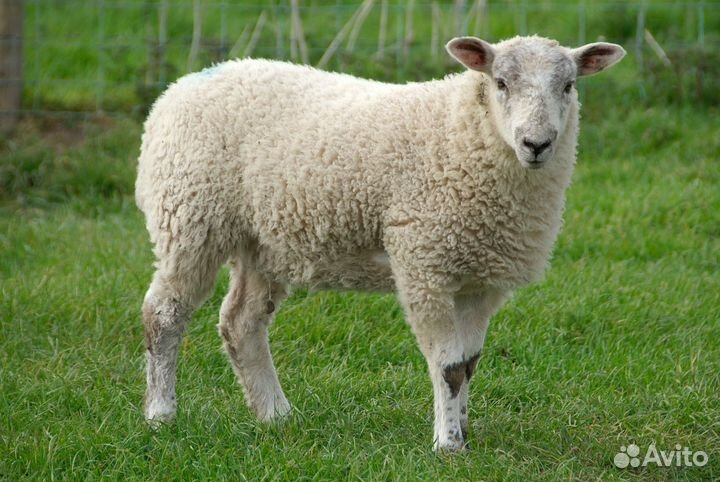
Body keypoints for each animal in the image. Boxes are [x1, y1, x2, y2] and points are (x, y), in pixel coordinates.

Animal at [136, 35, 625, 451]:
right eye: (501, 82)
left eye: (568, 85)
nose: (536, 144)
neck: (462, 133)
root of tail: (180, 87)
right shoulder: (424, 264)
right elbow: (448, 367)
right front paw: (448, 445)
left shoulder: (481, 279)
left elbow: (469, 363)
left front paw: (465, 431)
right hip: (190, 216)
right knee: (164, 313)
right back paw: (161, 415)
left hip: (264, 241)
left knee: (241, 323)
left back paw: (275, 415)